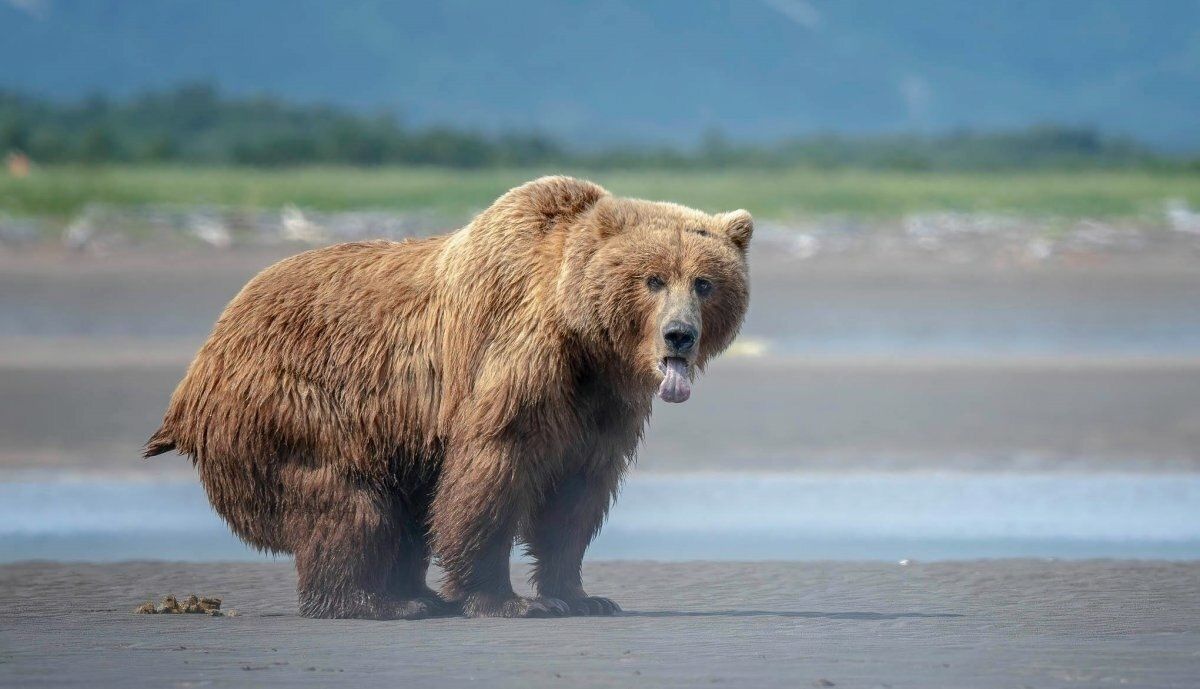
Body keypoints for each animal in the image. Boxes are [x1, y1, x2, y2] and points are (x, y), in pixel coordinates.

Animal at [144, 176, 752, 619]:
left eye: (704, 282)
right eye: (653, 279)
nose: (679, 335)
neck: (583, 336)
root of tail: (196, 372)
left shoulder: (602, 403)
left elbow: (577, 493)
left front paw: (583, 595)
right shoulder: (518, 361)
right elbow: (492, 470)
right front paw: (506, 600)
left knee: (397, 511)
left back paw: (413, 594)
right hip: (295, 404)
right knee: (345, 504)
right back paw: (378, 602)